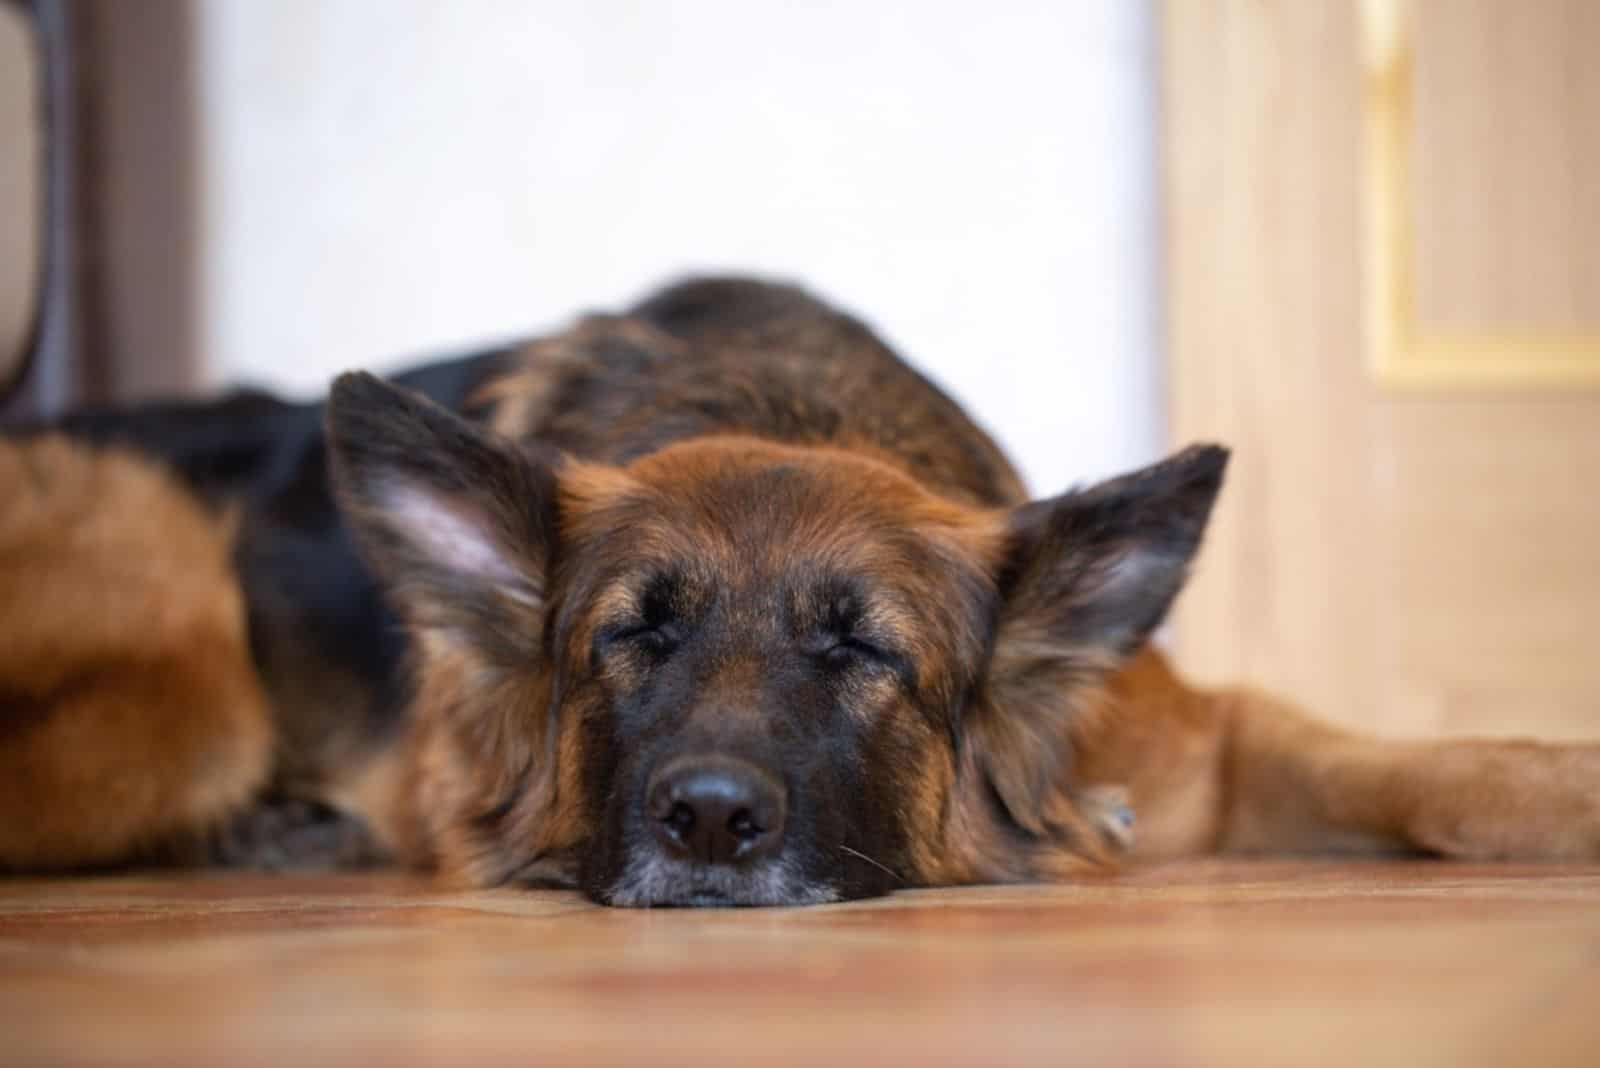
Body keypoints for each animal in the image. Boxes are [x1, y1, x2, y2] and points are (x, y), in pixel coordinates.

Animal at [0, 279, 1593, 908]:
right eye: (630, 638)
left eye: (863, 654)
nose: (709, 821)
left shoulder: (1201, 740)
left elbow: (1430, 770)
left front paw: (1557, 788)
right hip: (178, 662)